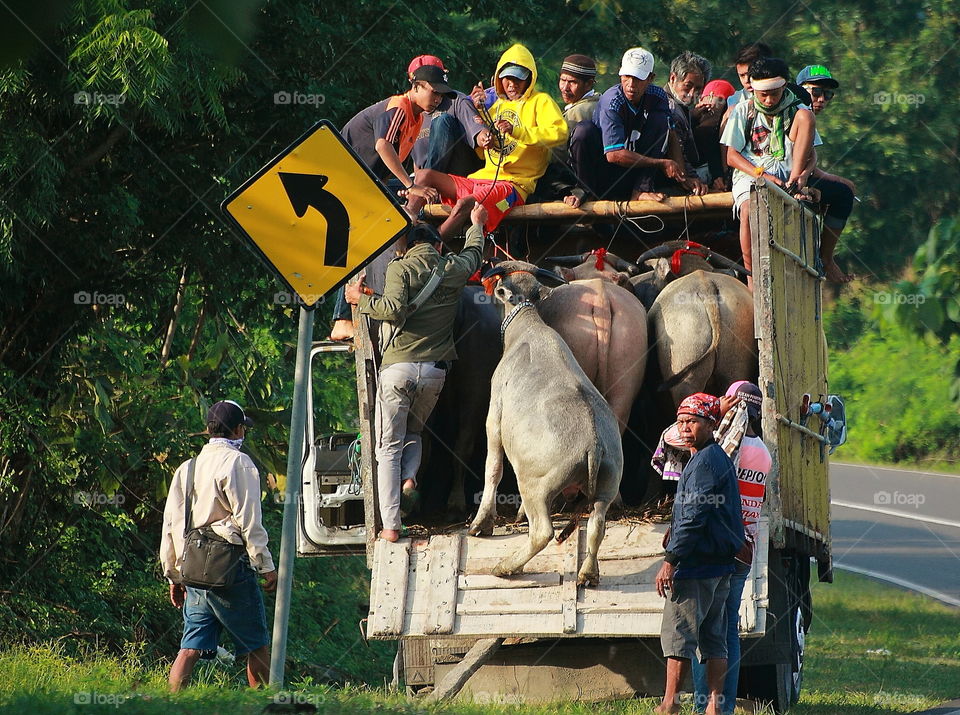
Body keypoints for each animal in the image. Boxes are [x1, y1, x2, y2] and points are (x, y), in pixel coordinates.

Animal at [470, 262, 624, 588]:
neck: (527, 330)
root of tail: (594, 444)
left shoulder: (494, 418)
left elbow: (493, 468)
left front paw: (481, 523)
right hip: (607, 485)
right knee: (597, 525)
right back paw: (588, 573)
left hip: (535, 487)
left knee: (542, 532)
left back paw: (506, 566)